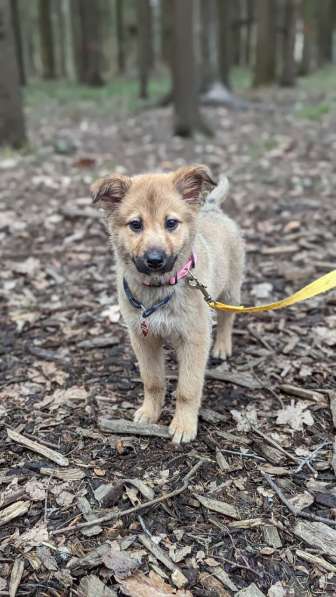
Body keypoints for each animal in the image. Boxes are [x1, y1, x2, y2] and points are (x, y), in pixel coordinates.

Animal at [92, 166, 244, 442]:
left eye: (171, 223)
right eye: (136, 224)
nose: (155, 259)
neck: (159, 288)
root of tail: (213, 208)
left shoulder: (195, 339)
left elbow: (188, 389)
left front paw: (183, 425)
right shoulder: (143, 338)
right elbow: (153, 381)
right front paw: (149, 413)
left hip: (230, 290)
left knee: (228, 317)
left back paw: (222, 346)